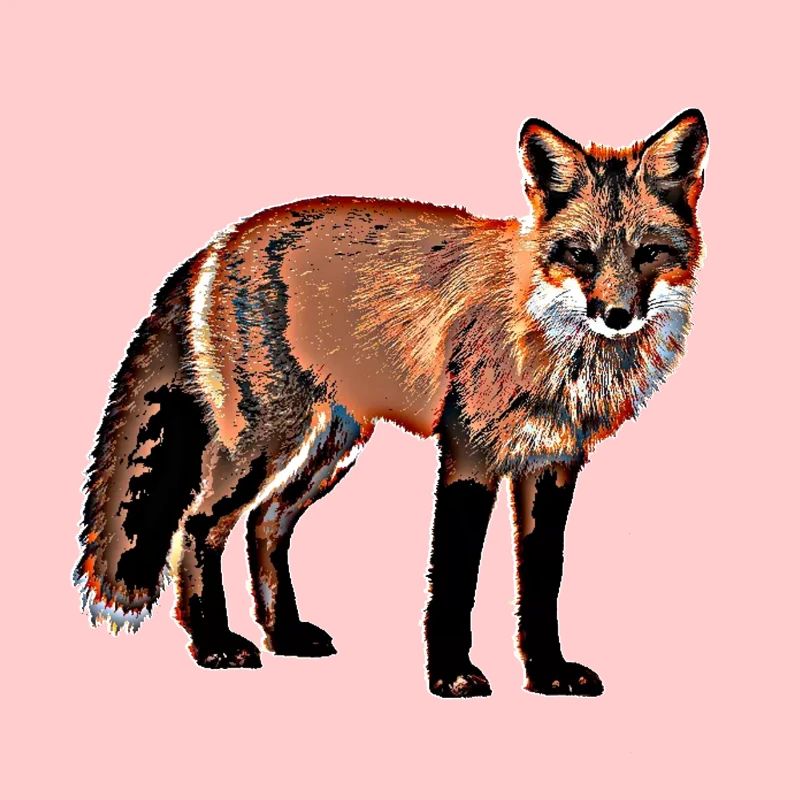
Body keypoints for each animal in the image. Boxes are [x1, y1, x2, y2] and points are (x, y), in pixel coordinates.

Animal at [74, 109, 708, 698]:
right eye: (580, 254)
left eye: (649, 252)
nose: (617, 316)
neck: (555, 347)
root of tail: (221, 241)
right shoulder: (469, 453)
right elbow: (454, 580)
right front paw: (451, 675)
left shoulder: (554, 464)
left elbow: (541, 581)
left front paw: (548, 673)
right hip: (266, 443)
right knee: (198, 525)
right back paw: (213, 645)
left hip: (332, 447)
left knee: (265, 522)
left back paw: (284, 636)